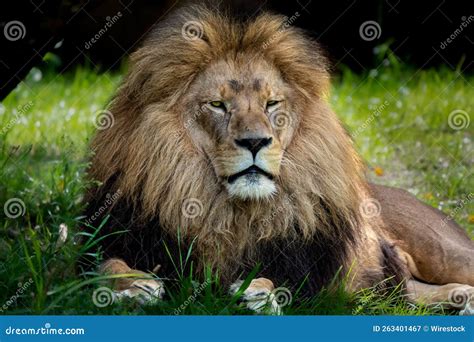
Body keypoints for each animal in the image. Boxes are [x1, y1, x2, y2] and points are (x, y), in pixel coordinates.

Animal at [83, 6, 472, 316]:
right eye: (217, 105)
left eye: (271, 104)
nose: (255, 141)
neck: (224, 210)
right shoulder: (111, 238)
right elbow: (102, 266)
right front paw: (133, 285)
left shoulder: (313, 279)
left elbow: (282, 282)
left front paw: (258, 292)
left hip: (442, 252)